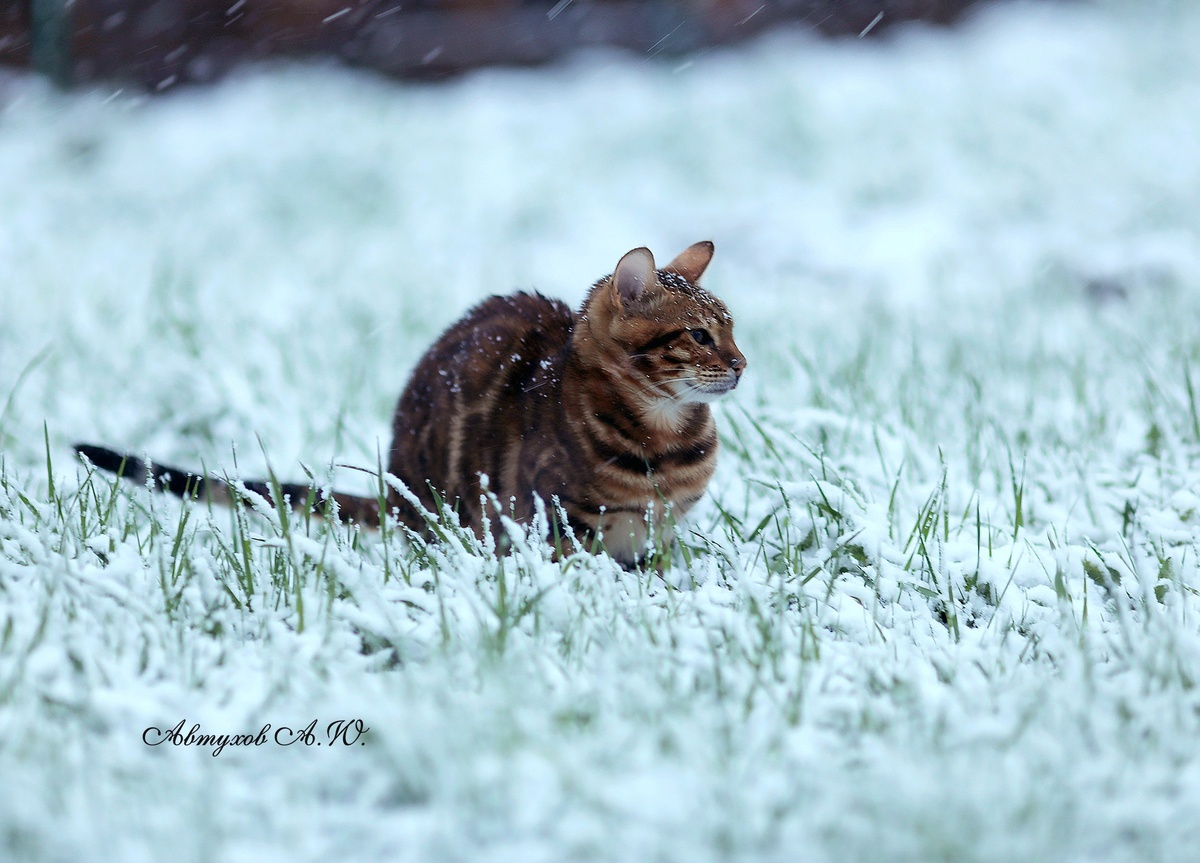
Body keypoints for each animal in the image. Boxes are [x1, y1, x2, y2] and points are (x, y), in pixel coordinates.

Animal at [76, 242, 746, 567]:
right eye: (698, 335)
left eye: (731, 329)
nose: (742, 363)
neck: (666, 444)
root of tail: (395, 487)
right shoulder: (561, 525)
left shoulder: (658, 535)